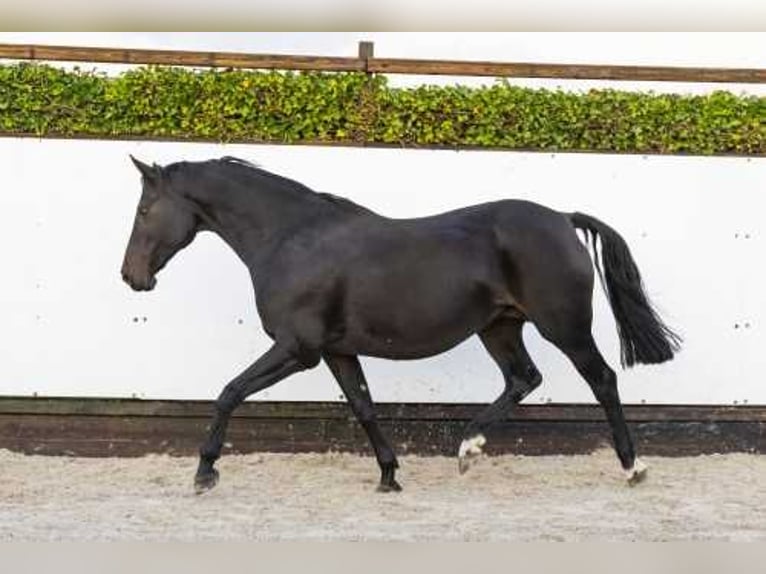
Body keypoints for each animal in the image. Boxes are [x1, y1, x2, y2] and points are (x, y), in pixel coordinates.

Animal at [121, 156, 684, 496]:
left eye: (145, 209)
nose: (132, 277)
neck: (293, 240)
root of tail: (562, 219)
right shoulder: (336, 351)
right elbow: (364, 407)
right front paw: (389, 476)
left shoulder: (297, 349)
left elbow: (229, 392)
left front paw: (205, 472)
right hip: (499, 327)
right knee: (523, 379)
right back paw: (468, 448)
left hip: (563, 326)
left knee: (602, 380)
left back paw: (633, 467)